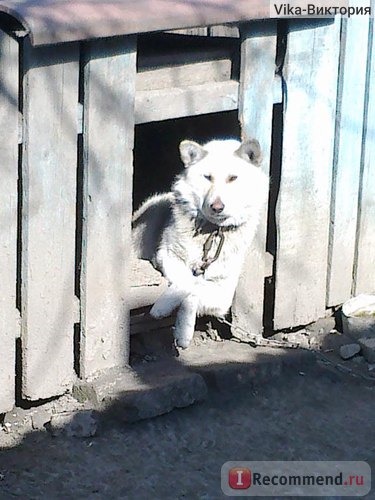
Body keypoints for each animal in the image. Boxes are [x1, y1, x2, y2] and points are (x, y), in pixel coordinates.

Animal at [134, 137, 268, 348]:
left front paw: (183, 331)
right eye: (207, 177)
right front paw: (162, 307)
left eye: (233, 178)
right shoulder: (167, 256)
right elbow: (187, 281)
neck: (212, 232)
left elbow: (194, 290)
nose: (217, 207)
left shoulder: (223, 294)